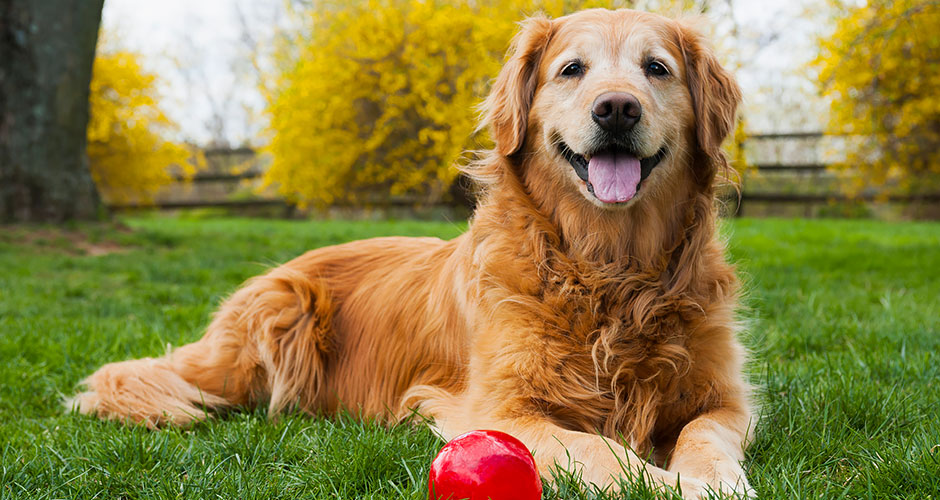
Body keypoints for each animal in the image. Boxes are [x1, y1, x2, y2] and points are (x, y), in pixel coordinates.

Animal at [70, 8, 752, 500]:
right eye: (572, 69)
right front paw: (672, 484)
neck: (611, 269)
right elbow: (599, 448)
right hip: (272, 320)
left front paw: (713, 480)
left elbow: (705, 435)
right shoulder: (497, 407)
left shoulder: (725, 397)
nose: (616, 108)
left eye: (656, 68)